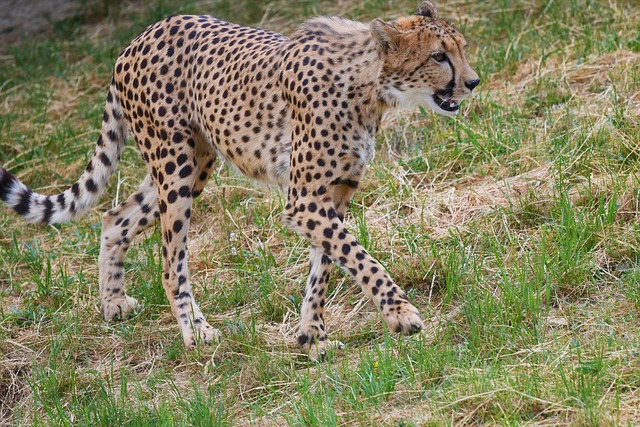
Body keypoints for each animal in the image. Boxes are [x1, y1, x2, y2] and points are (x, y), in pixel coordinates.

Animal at [0, 1, 479, 359]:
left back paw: (114, 303)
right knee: (170, 261)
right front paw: (400, 313)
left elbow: (325, 267)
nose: (473, 82)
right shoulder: (305, 200)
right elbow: (359, 257)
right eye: (438, 56)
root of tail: (139, 37)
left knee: (114, 217)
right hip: (175, 167)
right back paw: (196, 332)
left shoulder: (335, 194)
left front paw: (313, 338)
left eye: (460, 48)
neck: (370, 86)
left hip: (195, 162)